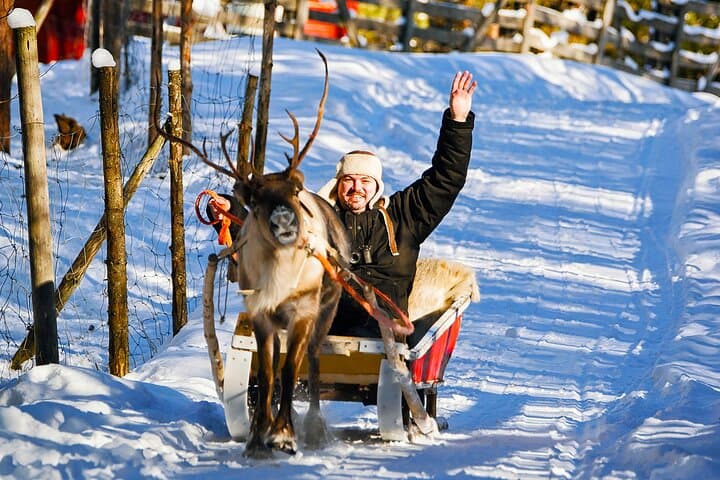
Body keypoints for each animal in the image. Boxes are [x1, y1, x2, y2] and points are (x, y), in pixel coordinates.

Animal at [158, 50, 350, 458]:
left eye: (295, 192)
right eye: (255, 200)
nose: (284, 222)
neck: (278, 278)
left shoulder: (302, 312)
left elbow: (290, 372)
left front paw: (284, 435)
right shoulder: (259, 314)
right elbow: (267, 371)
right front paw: (258, 436)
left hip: (326, 311)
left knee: (311, 363)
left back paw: (313, 427)